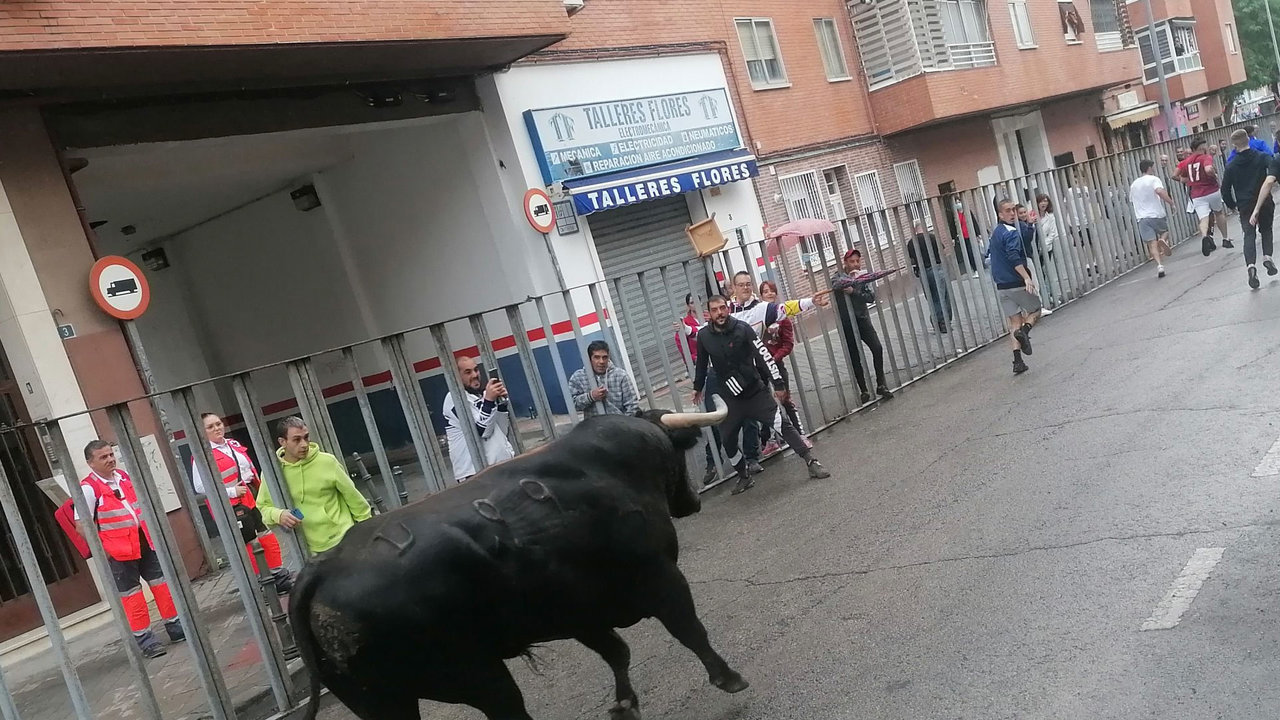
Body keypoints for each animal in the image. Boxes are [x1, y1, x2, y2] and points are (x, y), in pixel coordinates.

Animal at [291, 397, 747, 717]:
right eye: (680, 453)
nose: (691, 501)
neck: (616, 467)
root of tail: (323, 567)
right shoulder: (660, 578)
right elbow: (689, 630)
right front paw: (728, 677)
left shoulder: (580, 611)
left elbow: (618, 652)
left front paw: (624, 704)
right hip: (477, 674)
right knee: (507, 709)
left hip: (380, 702)